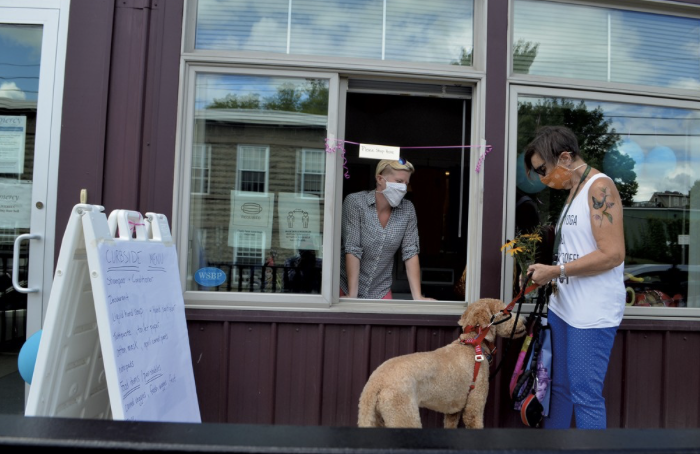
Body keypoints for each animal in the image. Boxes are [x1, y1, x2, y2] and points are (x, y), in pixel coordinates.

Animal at [356, 298, 524, 430]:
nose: (525, 321)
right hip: (404, 415)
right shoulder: (474, 408)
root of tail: (374, 383)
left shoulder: (452, 412)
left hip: (376, 418)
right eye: (507, 312)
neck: (473, 344)